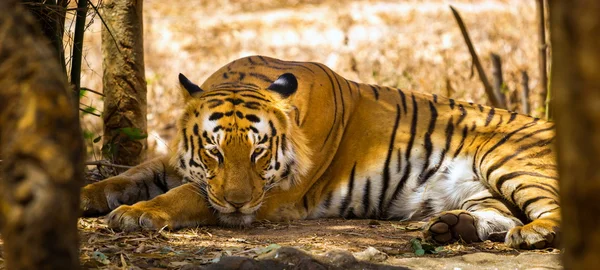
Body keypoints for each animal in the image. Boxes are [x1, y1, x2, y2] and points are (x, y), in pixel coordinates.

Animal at [82, 56, 560, 250]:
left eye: (259, 153)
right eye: (214, 151)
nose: (237, 203)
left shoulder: (271, 197)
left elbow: (187, 196)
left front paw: (138, 214)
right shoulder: (173, 163)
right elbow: (128, 176)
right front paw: (87, 194)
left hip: (508, 159)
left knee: (545, 213)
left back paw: (533, 234)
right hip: (478, 187)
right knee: (501, 214)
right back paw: (450, 227)